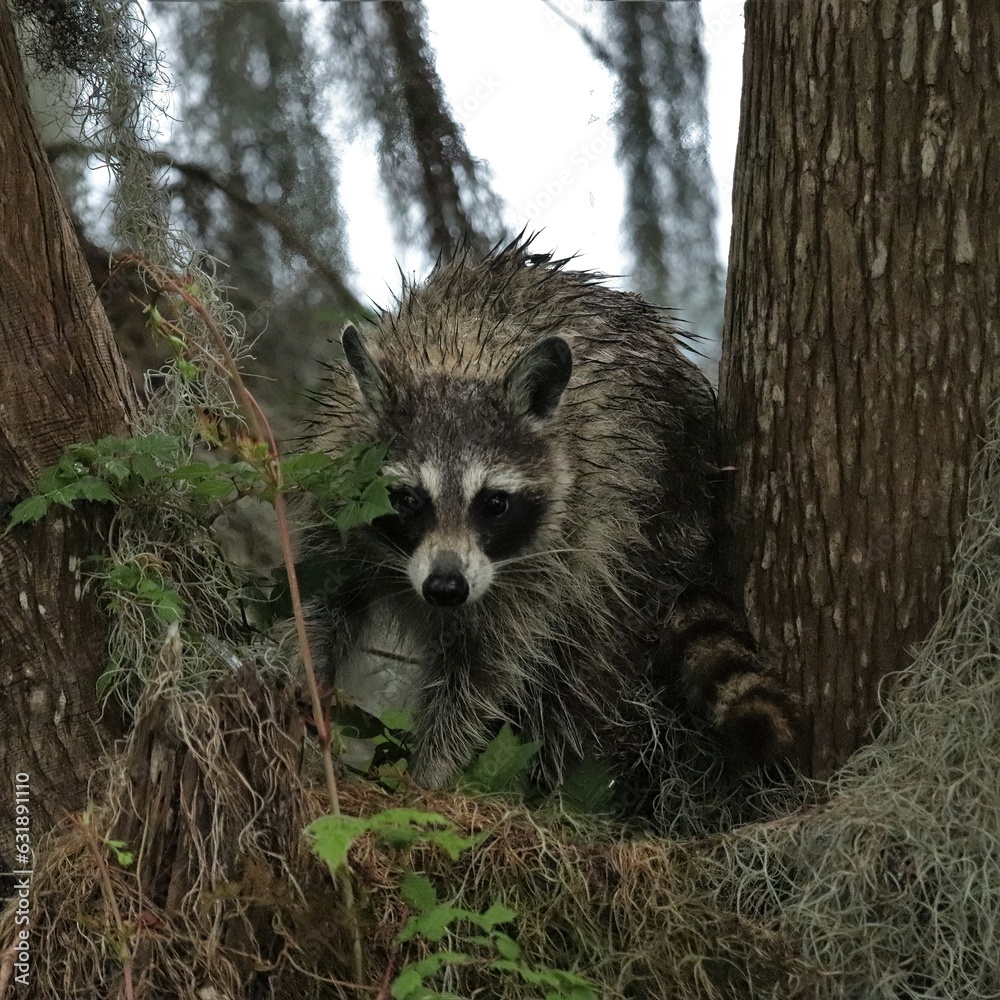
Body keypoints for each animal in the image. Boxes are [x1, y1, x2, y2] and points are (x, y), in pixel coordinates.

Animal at [307, 236, 797, 814]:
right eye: (407, 500)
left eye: (494, 504)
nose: (446, 588)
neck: (460, 357)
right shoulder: (332, 491)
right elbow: (321, 604)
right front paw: (308, 690)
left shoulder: (542, 560)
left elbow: (483, 675)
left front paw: (429, 776)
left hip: (638, 539)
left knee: (580, 671)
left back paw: (548, 786)